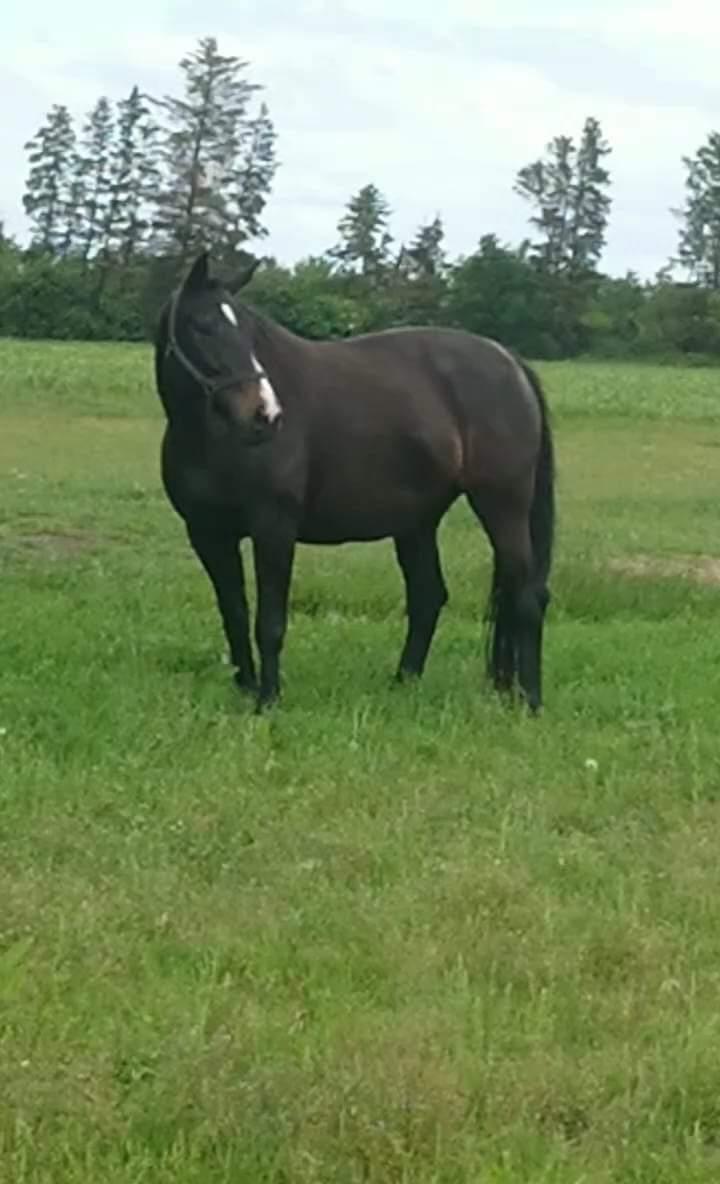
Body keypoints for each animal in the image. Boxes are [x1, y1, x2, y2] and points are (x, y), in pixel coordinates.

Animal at [152, 249, 556, 710]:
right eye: (203, 325)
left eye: (250, 332)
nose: (265, 414)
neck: (212, 437)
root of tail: (510, 361)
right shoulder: (207, 534)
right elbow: (234, 614)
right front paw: (247, 689)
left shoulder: (274, 527)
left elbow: (268, 620)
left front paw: (268, 699)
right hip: (417, 521)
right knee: (429, 596)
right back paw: (404, 683)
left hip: (502, 507)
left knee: (526, 596)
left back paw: (531, 700)